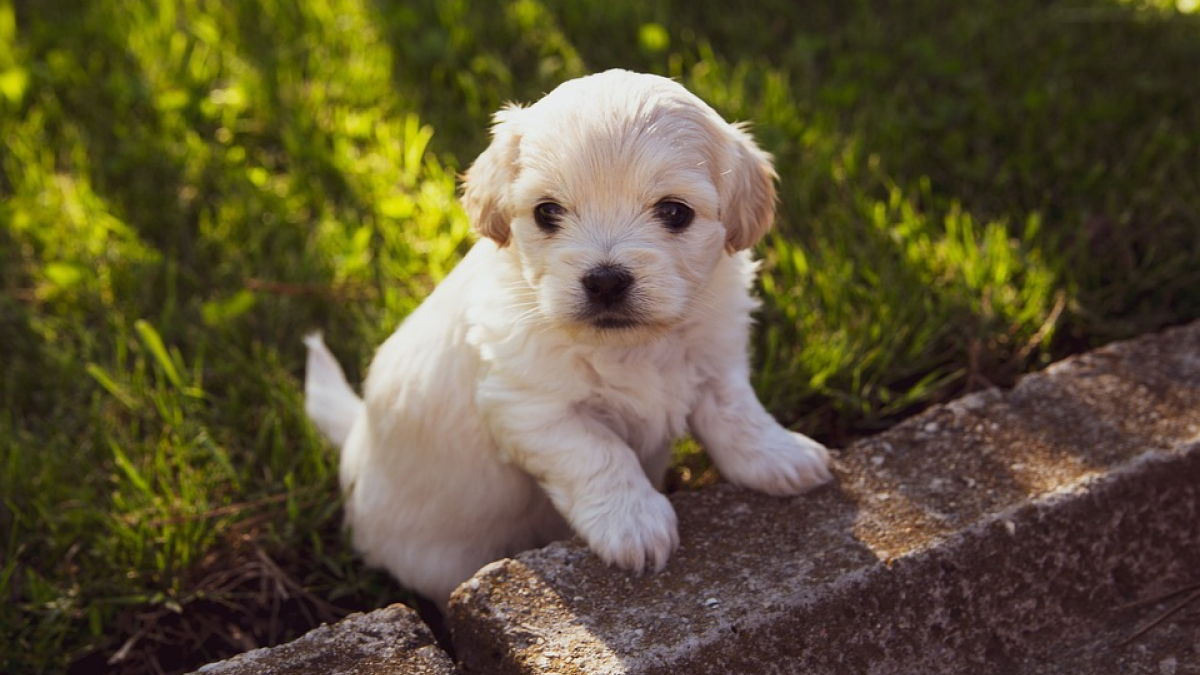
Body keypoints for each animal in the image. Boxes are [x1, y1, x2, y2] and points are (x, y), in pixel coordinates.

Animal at [307, 68, 835, 605]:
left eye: (674, 212)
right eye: (547, 212)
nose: (605, 281)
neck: (632, 347)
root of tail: (355, 443)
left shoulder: (715, 359)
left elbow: (737, 414)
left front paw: (780, 456)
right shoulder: (531, 408)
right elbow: (599, 452)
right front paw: (635, 523)